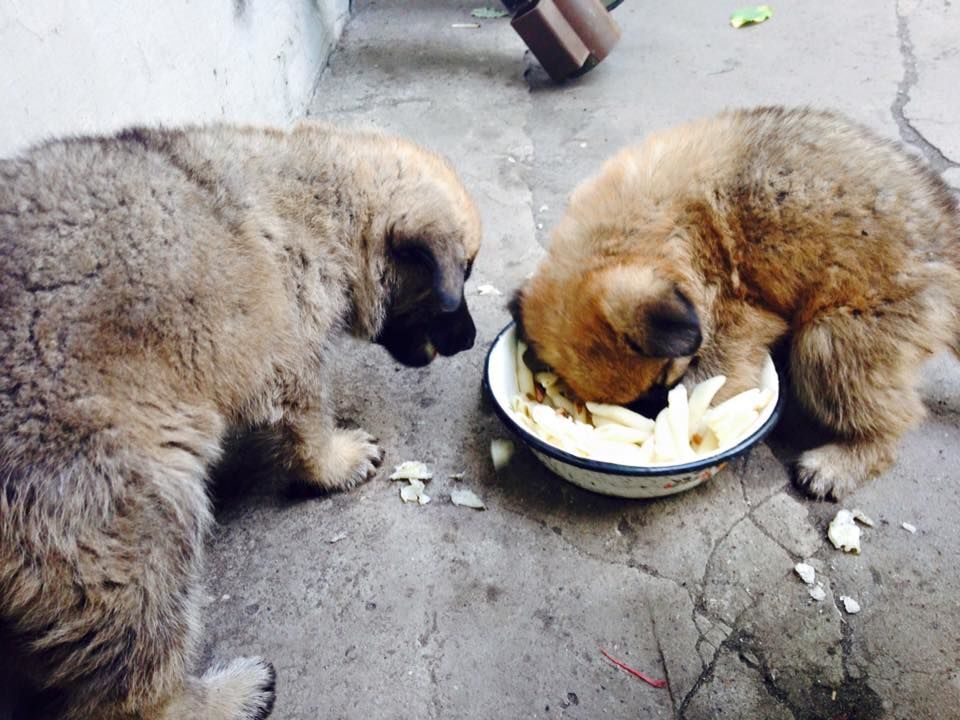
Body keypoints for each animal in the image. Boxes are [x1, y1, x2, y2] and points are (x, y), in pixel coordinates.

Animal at [0, 121, 480, 716]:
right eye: (463, 275)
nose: (473, 339)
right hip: (124, 511)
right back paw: (220, 698)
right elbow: (307, 417)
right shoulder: (289, 350)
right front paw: (332, 462)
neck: (322, 201)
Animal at [512, 107, 960, 500]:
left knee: (892, 418)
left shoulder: (738, 315)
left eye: (662, 383)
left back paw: (840, 462)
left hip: (833, 340)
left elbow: (711, 376)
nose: (651, 415)